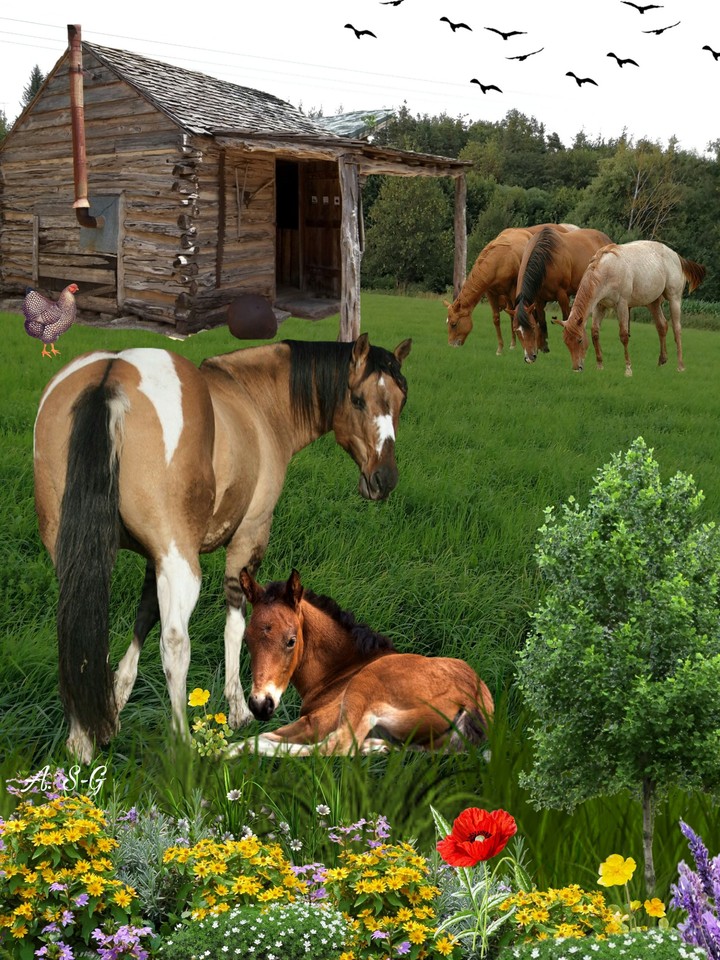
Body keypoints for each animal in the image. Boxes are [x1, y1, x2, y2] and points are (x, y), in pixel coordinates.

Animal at [33, 334, 412, 763]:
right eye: (358, 400)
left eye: (401, 400)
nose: (384, 479)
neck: (256, 401)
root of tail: (110, 375)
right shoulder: (248, 538)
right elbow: (237, 622)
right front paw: (239, 707)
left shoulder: (153, 559)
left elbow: (144, 616)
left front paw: (113, 703)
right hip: (182, 565)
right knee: (175, 643)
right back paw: (181, 743)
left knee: (75, 631)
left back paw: (80, 740)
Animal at [228, 568, 494, 755]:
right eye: (247, 639)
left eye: (291, 640)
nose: (260, 705)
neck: (343, 669)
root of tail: (473, 699)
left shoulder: (316, 722)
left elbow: (259, 738)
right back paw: (374, 747)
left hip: (362, 690)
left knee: (333, 746)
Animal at [444, 223, 579, 350]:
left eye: (453, 324)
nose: (451, 344)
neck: (499, 262)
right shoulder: (491, 292)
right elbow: (497, 318)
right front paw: (501, 347)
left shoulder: (513, 290)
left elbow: (516, 315)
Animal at [512, 226, 613, 363]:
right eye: (517, 331)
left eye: (532, 328)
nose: (529, 357)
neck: (547, 259)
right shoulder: (539, 300)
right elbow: (542, 321)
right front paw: (543, 347)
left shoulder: (562, 295)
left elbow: (566, 317)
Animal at [554, 240, 706, 375]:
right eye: (566, 342)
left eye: (579, 340)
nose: (577, 368)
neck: (607, 270)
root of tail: (676, 255)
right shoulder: (599, 306)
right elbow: (595, 333)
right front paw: (600, 365)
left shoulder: (622, 305)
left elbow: (624, 336)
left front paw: (628, 369)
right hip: (653, 302)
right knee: (662, 326)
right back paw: (661, 361)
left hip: (674, 299)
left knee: (677, 330)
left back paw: (680, 366)